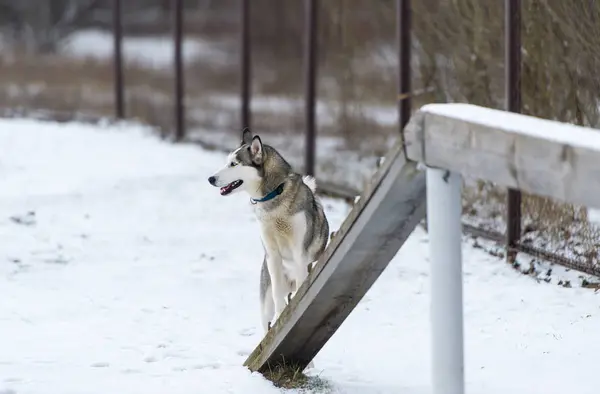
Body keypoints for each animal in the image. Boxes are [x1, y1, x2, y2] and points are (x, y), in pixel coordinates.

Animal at [206, 127, 328, 330]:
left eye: (233, 164)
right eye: (227, 162)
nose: (210, 178)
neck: (275, 195)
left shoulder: (299, 252)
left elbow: (302, 282)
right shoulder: (273, 255)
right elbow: (278, 293)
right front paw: (280, 315)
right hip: (265, 303)